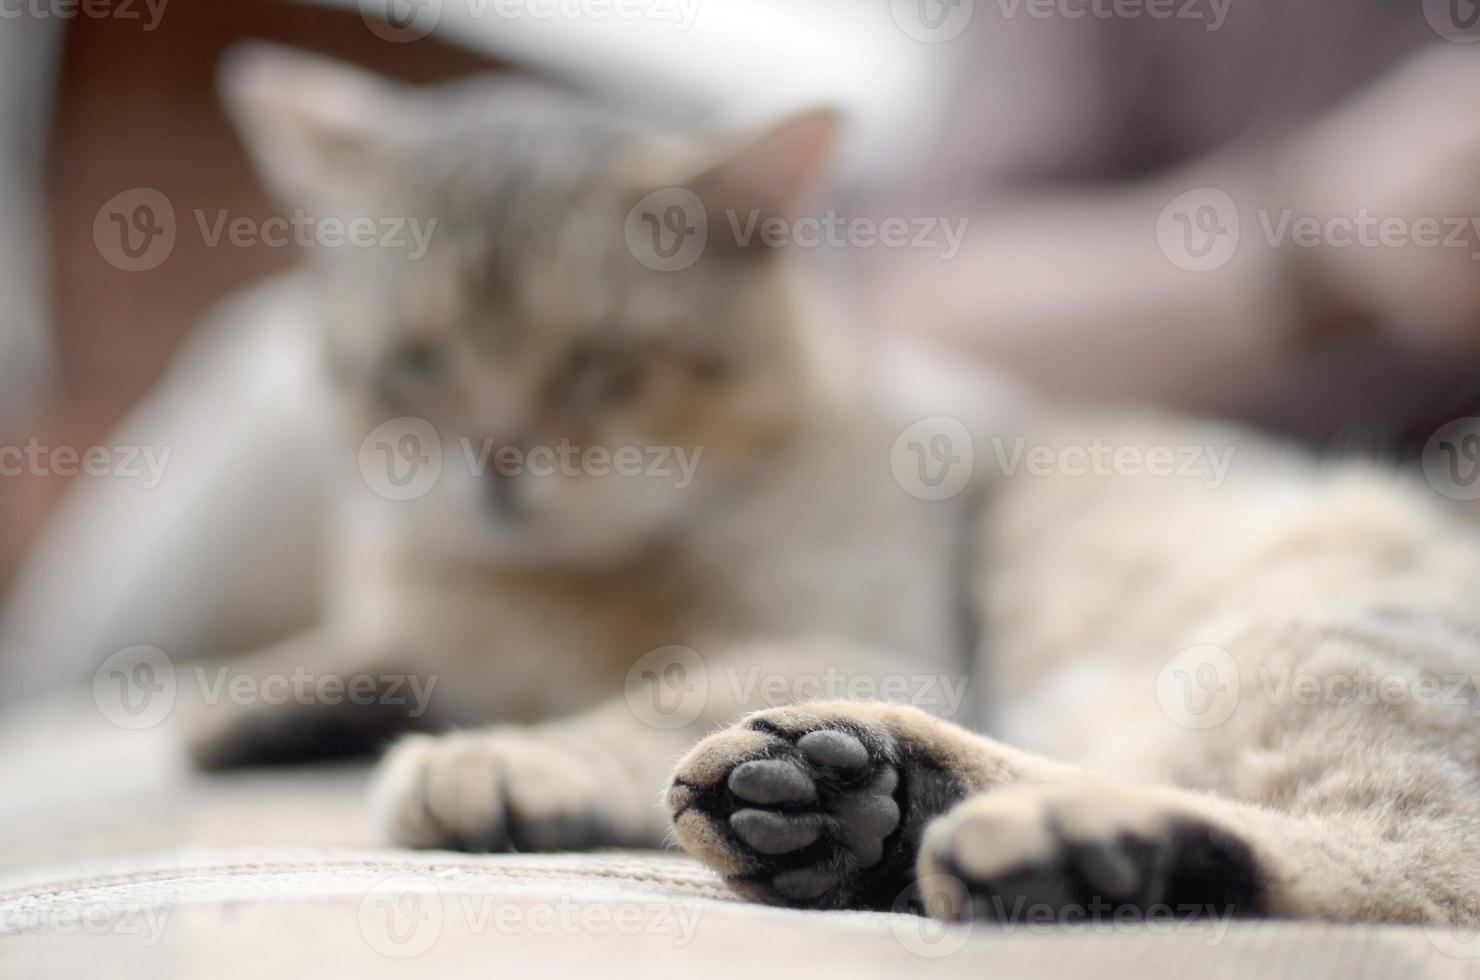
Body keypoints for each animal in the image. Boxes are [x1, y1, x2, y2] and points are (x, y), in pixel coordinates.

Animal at [190, 46, 1480, 935]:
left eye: (604, 366)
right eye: (416, 363)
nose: (497, 463)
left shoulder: (851, 631)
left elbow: (641, 699)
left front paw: (505, 755)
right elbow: (379, 647)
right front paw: (254, 697)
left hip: (1316, 642)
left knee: (1415, 869)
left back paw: (1069, 846)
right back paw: (868, 802)